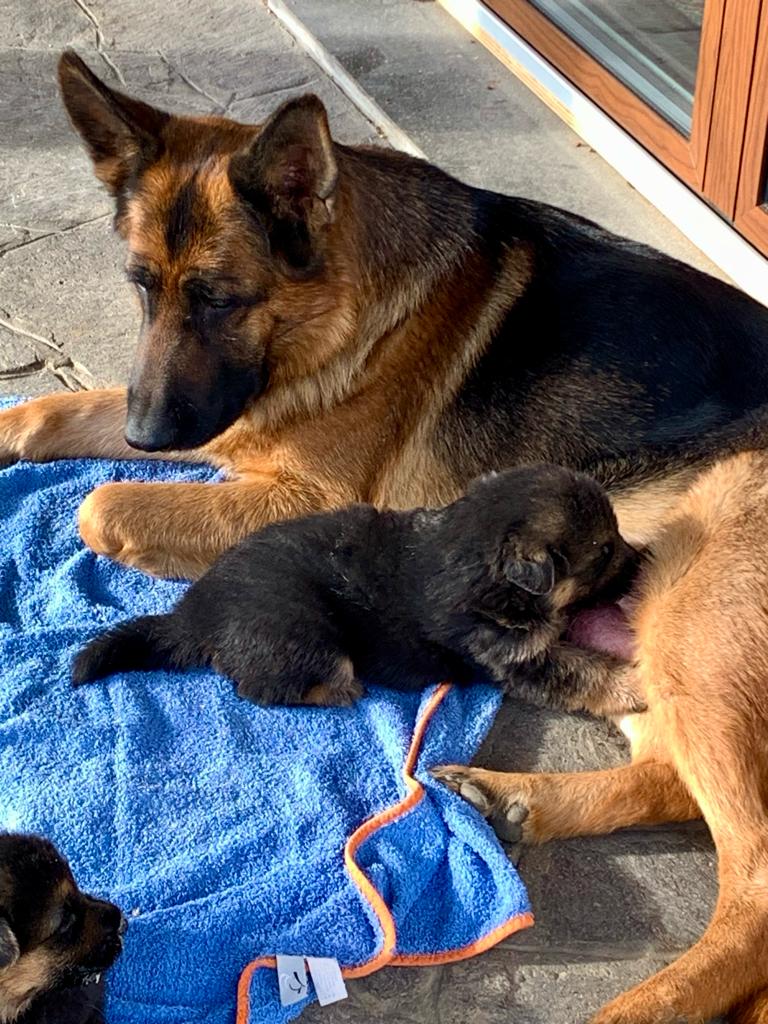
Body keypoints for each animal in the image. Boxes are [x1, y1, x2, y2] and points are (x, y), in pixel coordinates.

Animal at [0, 51, 767, 578]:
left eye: (219, 300)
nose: (147, 436)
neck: (345, 328)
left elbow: (99, 505)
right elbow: (59, 408)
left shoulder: (304, 494)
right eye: (140, 287)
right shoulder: (226, 420)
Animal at [72, 465, 643, 719]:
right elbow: (580, 669)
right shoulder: (515, 657)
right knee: (260, 687)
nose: (642, 562)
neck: (473, 548)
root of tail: (194, 613)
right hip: (303, 635)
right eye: (604, 552)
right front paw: (633, 685)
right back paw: (338, 690)